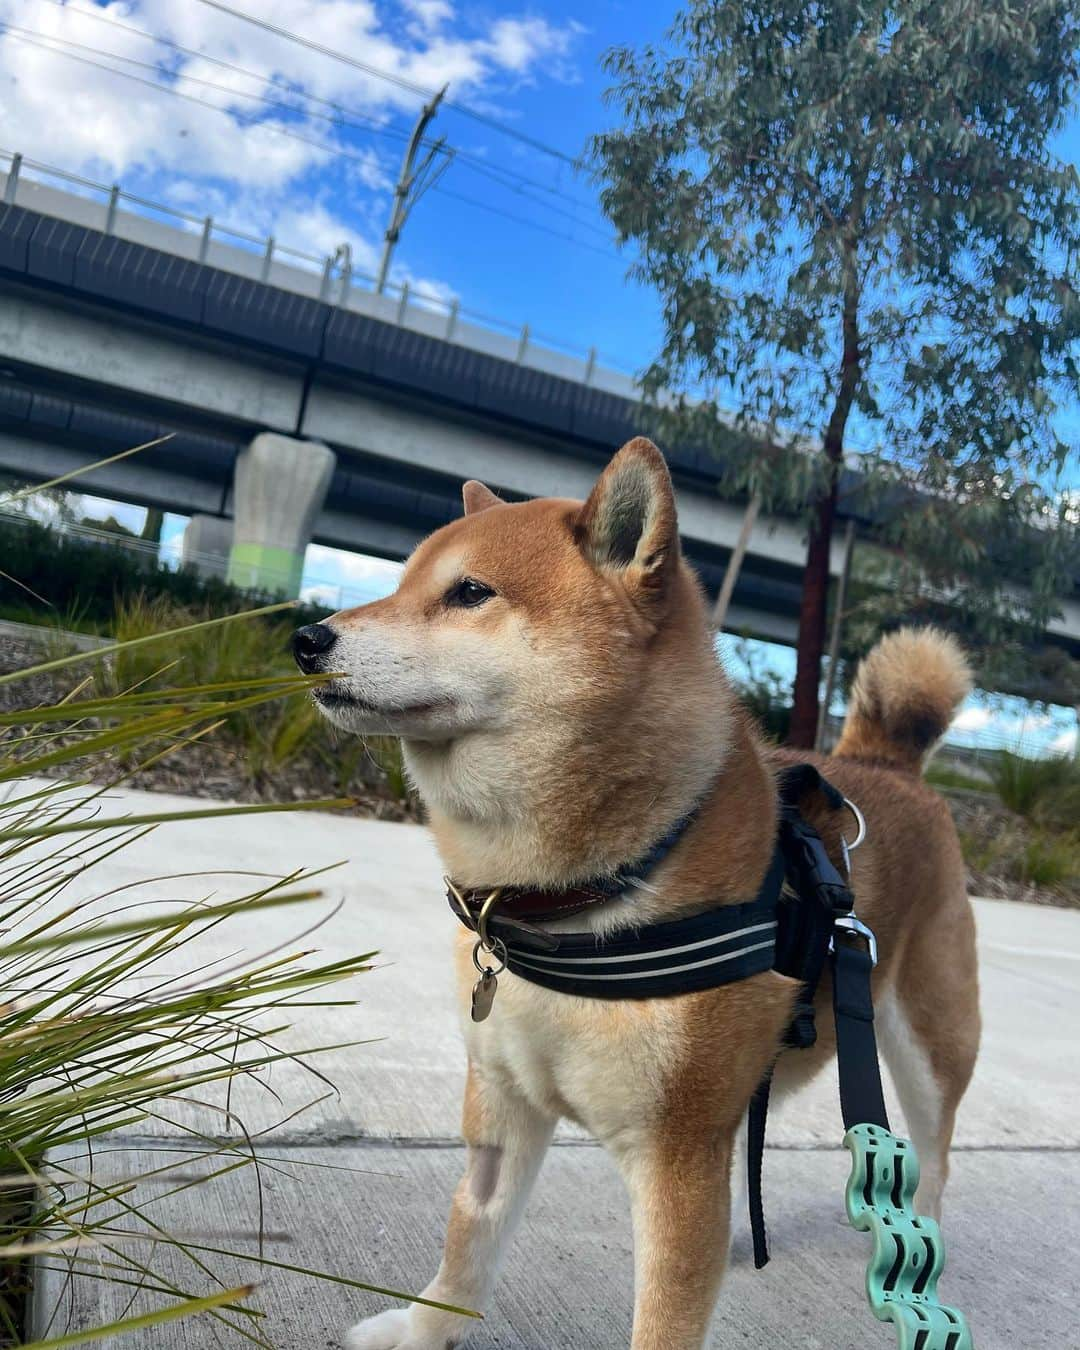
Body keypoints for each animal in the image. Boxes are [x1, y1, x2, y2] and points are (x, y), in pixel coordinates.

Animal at [292, 437, 977, 1350]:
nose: (305, 636)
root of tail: (887, 766)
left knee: (933, 1163)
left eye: (469, 593)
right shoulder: (501, 1108)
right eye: (402, 584)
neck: (572, 902)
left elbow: (663, 1316)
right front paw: (422, 1332)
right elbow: (467, 1243)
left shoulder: (676, 1156)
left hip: (928, 1045)